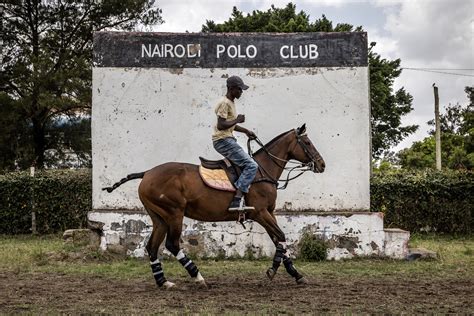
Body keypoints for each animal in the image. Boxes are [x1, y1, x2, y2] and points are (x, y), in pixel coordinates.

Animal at [103, 123, 326, 288]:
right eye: (307, 142)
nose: (322, 164)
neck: (263, 171)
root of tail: (147, 173)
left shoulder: (269, 212)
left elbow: (279, 239)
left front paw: (296, 274)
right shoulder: (260, 213)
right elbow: (280, 236)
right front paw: (272, 271)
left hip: (159, 217)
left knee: (152, 247)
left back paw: (163, 282)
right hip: (174, 213)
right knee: (172, 245)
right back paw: (198, 276)